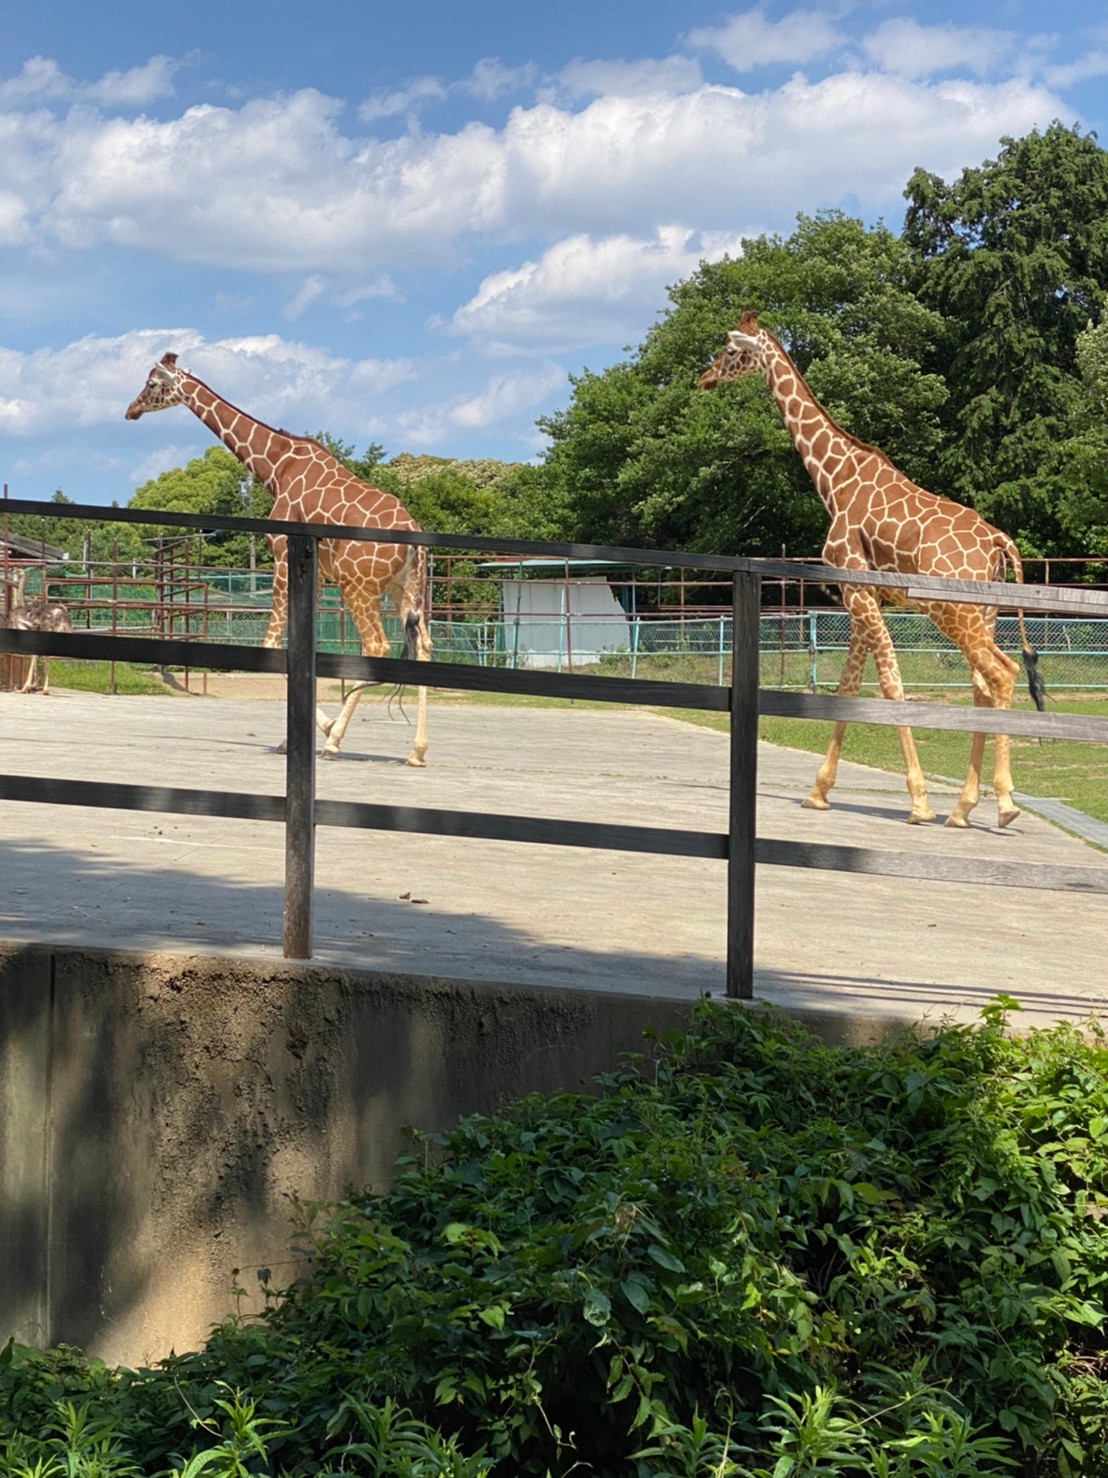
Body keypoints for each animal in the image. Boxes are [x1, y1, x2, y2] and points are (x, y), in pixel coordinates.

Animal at [124, 354, 428, 762]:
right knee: (424, 647)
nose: (131, 410)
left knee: (376, 647)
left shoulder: (283, 554)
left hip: (359, 586)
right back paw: (417, 750)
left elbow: (271, 646)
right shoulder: (316, 573)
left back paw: (335, 739)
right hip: (402, 588)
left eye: (152, 383)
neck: (276, 466)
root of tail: (414, 537)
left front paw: (318, 730)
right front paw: (294, 738)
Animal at [697, 308, 1045, 833]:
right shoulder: (861, 593)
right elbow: (847, 685)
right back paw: (963, 809)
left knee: (1000, 675)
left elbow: (889, 685)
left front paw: (918, 801)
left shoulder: (855, 588)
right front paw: (818, 792)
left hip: (954, 611)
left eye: (732, 350)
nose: (705, 378)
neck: (834, 480)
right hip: (983, 613)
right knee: (982, 686)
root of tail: (997, 543)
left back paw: (1002, 805)